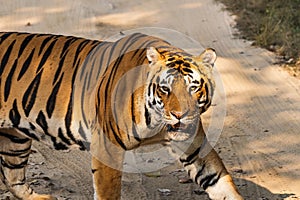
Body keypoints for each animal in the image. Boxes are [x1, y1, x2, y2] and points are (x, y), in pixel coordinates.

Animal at [0, 32, 241, 199]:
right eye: (165, 89)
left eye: (193, 87)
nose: (180, 115)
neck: (156, 123)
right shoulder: (107, 146)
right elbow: (108, 190)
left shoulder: (194, 148)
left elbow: (220, 181)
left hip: (14, 139)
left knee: (13, 177)